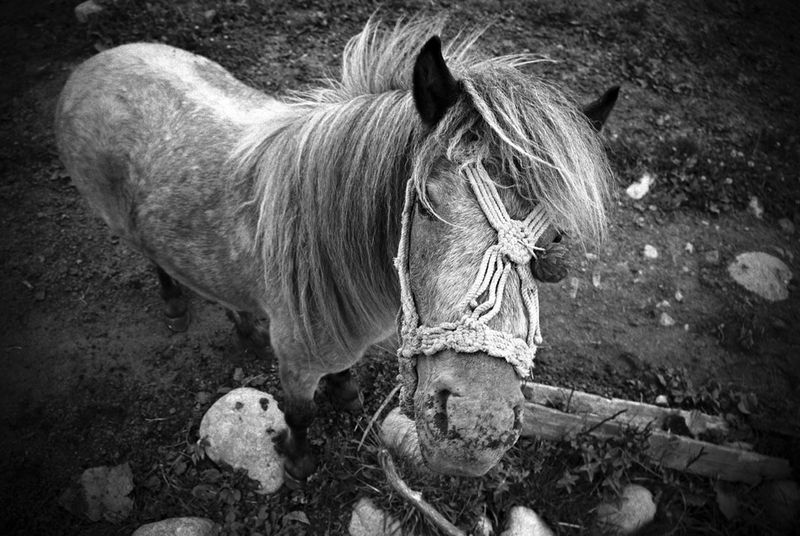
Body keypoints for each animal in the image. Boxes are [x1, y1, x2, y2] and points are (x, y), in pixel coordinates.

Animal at [55, 17, 618, 481]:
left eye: (554, 234)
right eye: (423, 202)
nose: (476, 430)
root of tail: (96, 64)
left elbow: (343, 372)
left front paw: (346, 394)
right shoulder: (296, 361)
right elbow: (300, 414)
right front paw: (299, 461)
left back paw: (245, 326)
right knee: (157, 262)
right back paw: (175, 305)